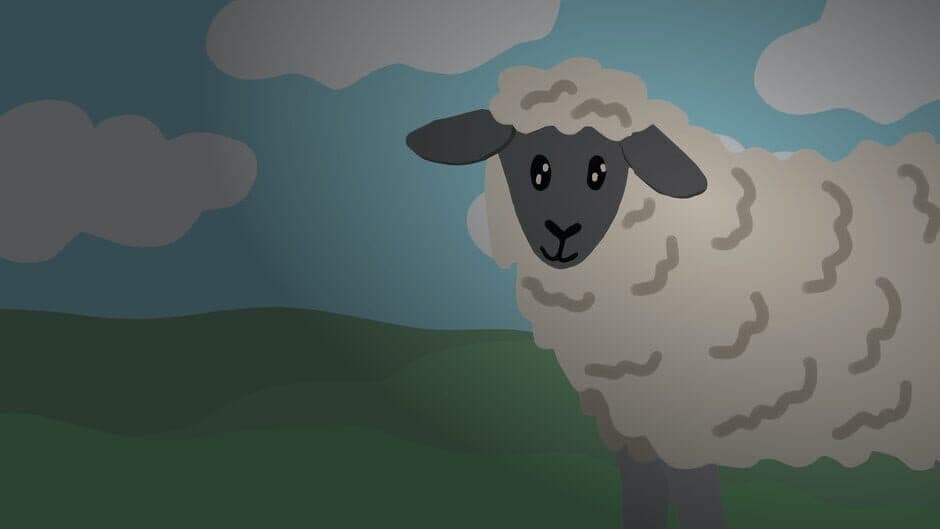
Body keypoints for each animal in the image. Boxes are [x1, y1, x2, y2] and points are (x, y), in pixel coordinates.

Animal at [406, 57, 940, 529]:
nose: (561, 233)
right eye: (536, 168)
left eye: (600, 169)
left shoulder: (688, 426)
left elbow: (698, 508)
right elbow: (642, 500)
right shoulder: (633, 426)